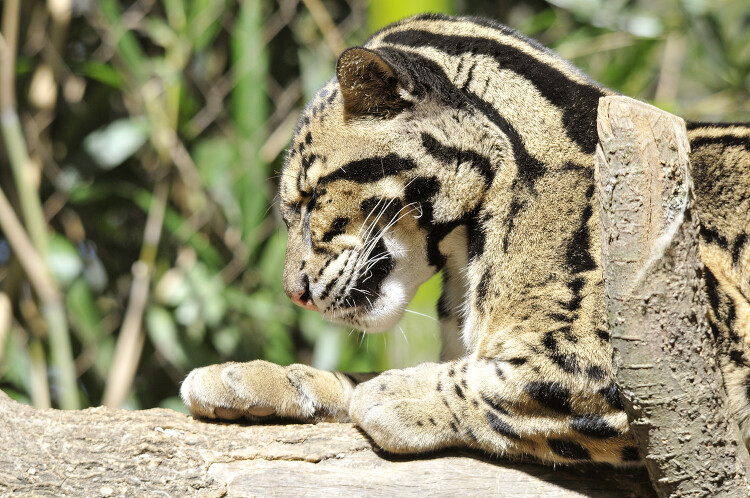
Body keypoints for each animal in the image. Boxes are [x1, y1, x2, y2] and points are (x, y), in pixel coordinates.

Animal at [182, 13, 750, 464]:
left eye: (310, 195)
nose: (293, 294)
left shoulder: (661, 360)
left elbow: (503, 382)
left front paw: (396, 395)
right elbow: (362, 375)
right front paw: (254, 377)